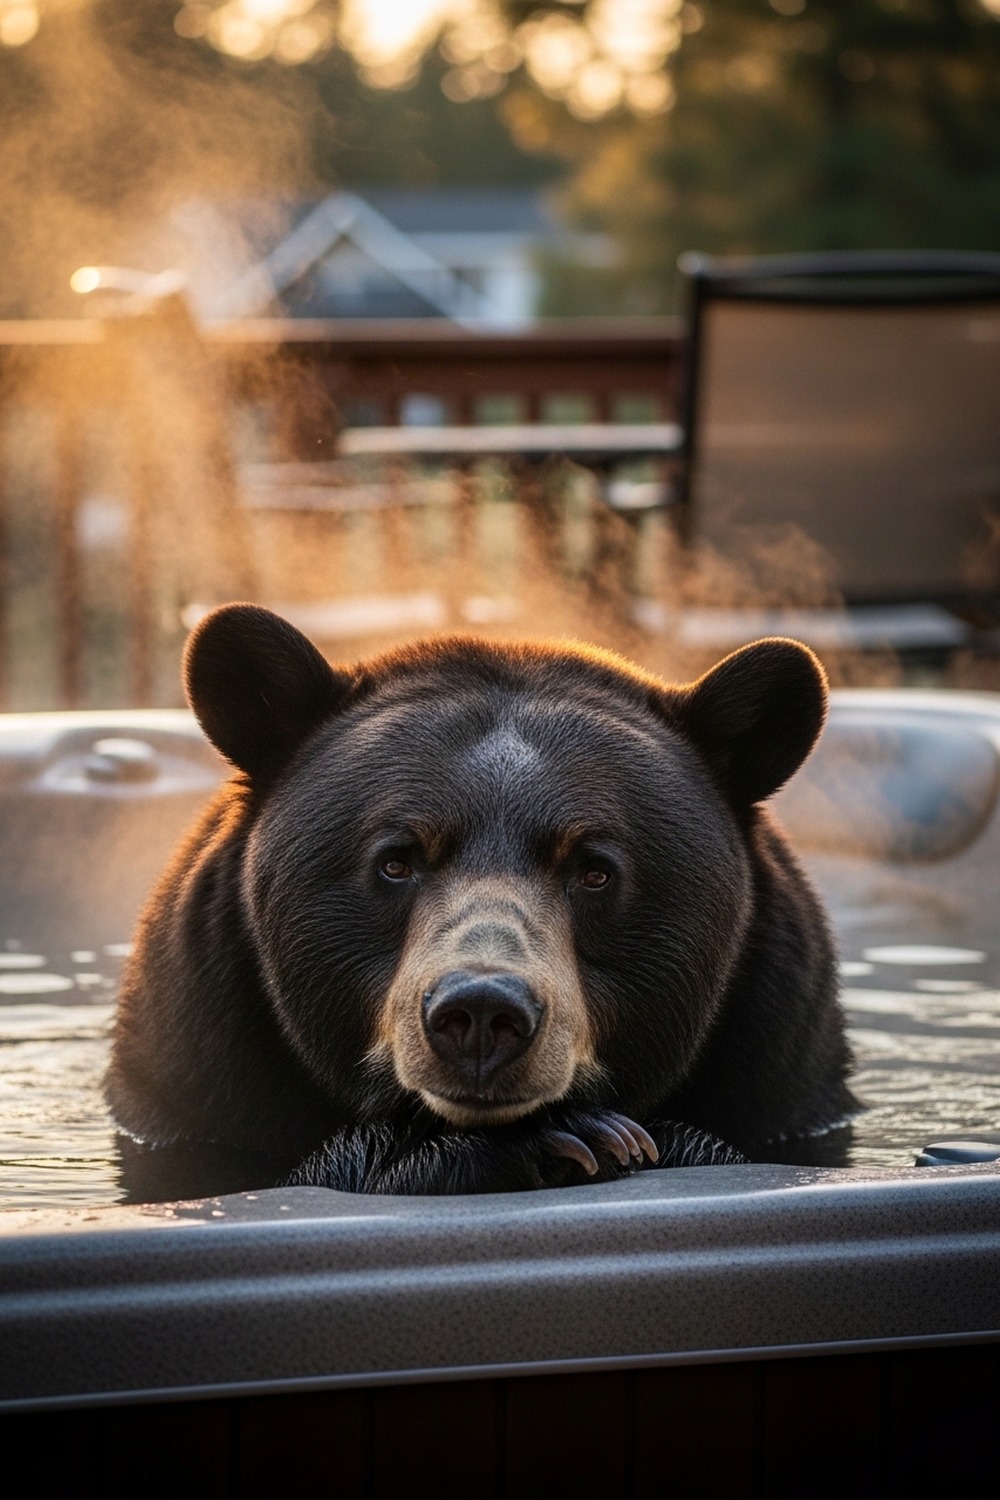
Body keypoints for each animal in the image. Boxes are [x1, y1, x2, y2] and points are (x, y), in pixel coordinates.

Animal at [106, 603, 857, 1200]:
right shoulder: (198, 1082)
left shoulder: (782, 1074)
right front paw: (567, 1140)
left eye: (595, 872)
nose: (480, 1012)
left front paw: (628, 1141)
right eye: (396, 861)